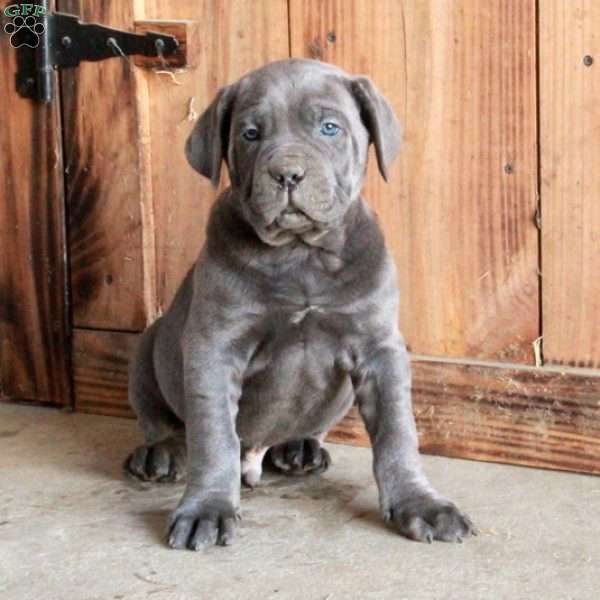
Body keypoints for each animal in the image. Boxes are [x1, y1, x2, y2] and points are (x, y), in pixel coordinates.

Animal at [124, 58, 476, 552]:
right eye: (251, 134)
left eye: (330, 128)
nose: (287, 173)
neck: (301, 255)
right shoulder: (214, 348)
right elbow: (214, 437)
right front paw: (206, 509)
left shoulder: (380, 349)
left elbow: (397, 432)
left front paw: (420, 504)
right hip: (149, 346)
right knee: (163, 420)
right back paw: (161, 453)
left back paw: (300, 447)